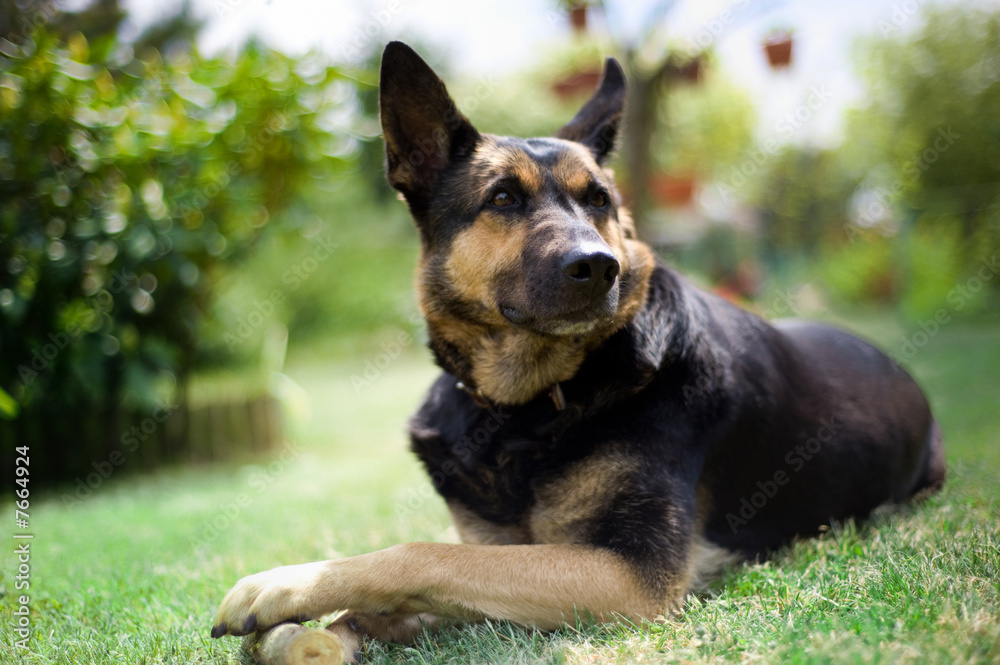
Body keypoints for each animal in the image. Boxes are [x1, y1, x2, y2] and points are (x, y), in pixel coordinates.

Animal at [211, 41, 944, 660]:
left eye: (599, 200)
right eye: (503, 197)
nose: (598, 266)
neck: (524, 409)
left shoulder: (626, 575)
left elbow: (422, 556)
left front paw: (287, 584)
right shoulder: (509, 551)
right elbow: (414, 587)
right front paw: (317, 631)